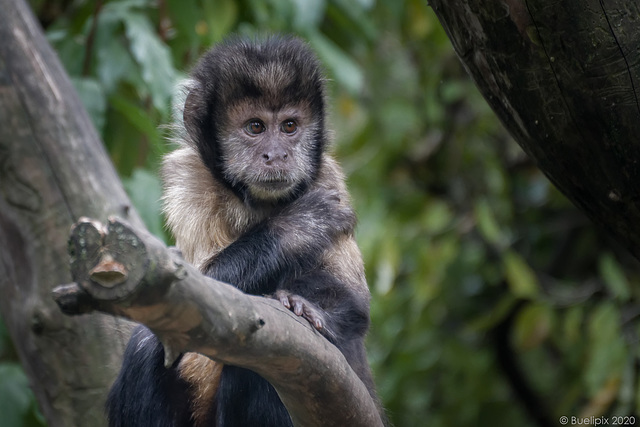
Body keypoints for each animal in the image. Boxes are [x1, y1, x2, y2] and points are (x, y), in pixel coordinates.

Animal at [107, 35, 384, 426]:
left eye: (289, 127)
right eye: (255, 127)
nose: (277, 155)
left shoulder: (331, 180)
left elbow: (356, 307)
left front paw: (308, 307)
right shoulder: (187, 176)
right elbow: (195, 287)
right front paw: (296, 226)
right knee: (147, 344)